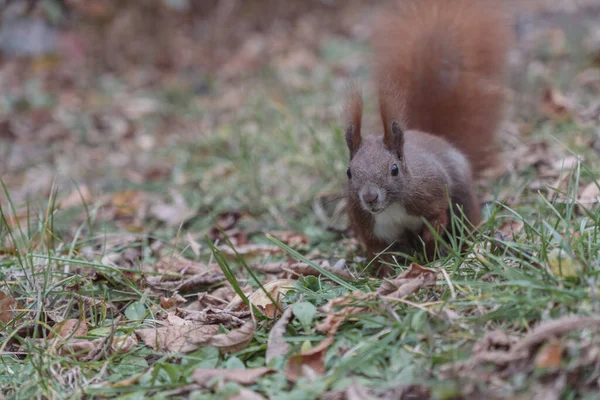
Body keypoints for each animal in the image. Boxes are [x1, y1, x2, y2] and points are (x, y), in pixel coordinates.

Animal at [344, 0, 512, 268]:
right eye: (349, 173)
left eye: (394, 169)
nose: (369, 197)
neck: (392, 207)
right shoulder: (369, 225)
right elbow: (379, 252)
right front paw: (385, 272)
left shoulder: (432, 193)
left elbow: (438, 218)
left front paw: (431, 246)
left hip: (463, 198)